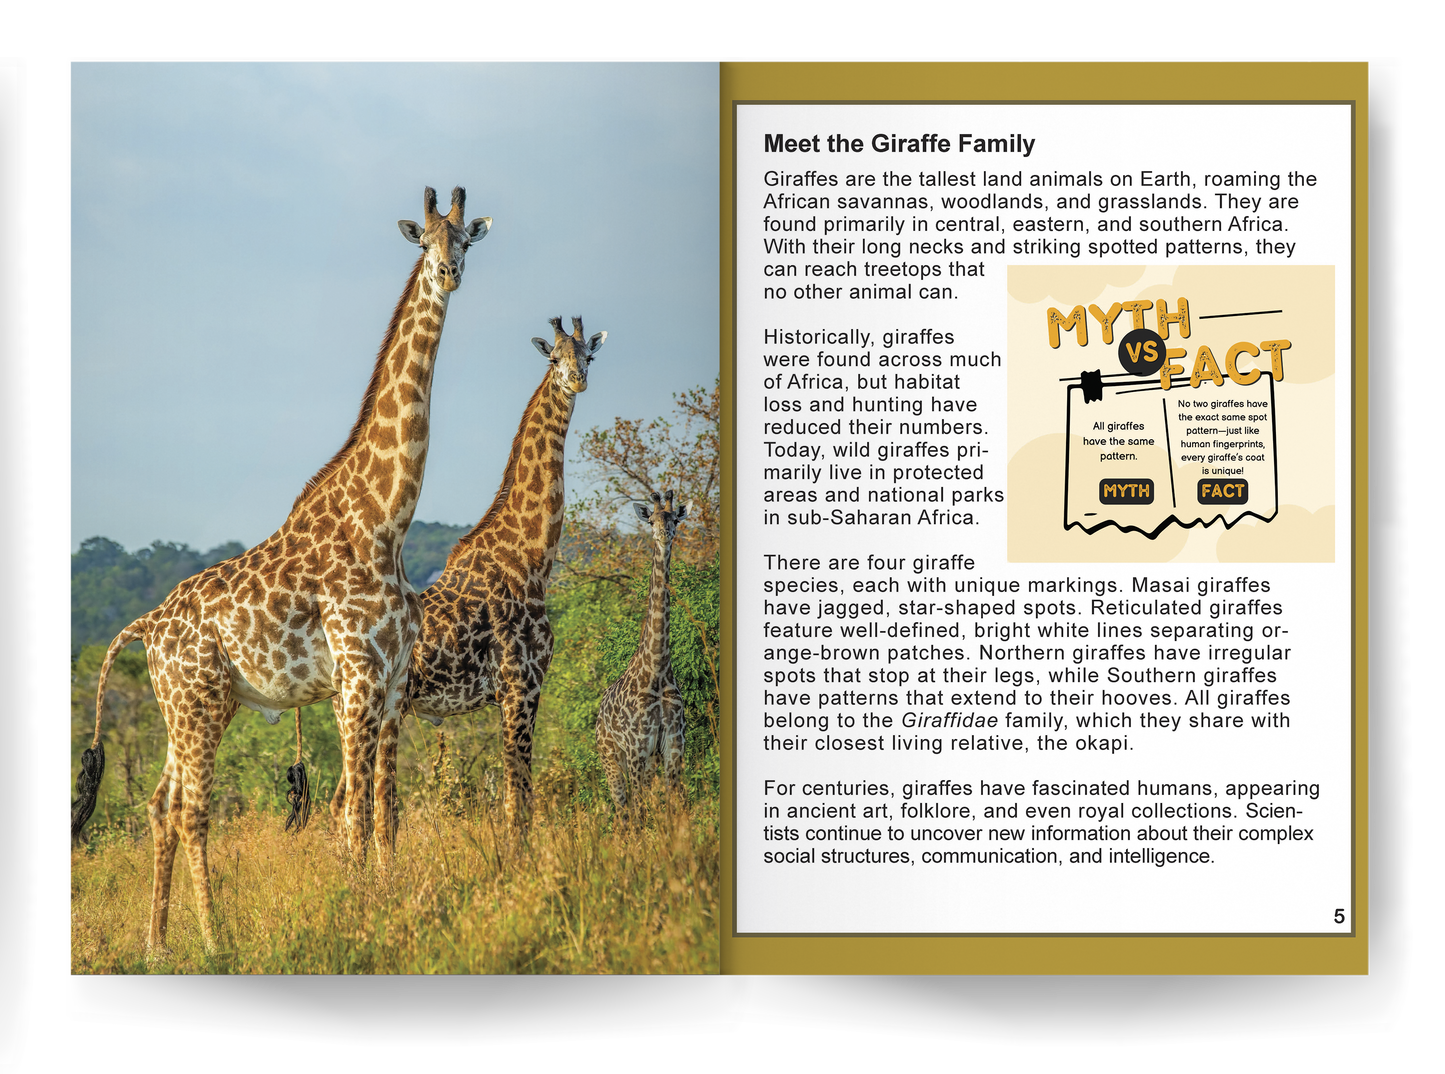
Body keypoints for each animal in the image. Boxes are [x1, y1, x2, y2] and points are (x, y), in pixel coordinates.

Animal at [70, 187, 491, 951]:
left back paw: (157, 942)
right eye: (425, 243)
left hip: (195, 705)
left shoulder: (390, 686)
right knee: (193, 811)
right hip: (197, 704)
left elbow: (386, 813)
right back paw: (213, 940)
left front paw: (384, 902)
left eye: (467, 239)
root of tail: (144, 626)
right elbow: (353, 815)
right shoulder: (356, 681)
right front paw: (356, 914)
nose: (449, 273)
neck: (385, 518)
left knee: (159, 803)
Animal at [344, 316, 604, 829]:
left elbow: (519, 798)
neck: (531, 559)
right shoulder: (519, 685)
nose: (576, 380)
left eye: (590, 355)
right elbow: (517, 801)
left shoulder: (528, 688)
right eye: (553, 358)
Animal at [596, 490, 690, 817]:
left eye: (675, 519)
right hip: (611, 757)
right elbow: (639, 811)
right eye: (651, 520)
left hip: (648, 761)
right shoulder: (637, 748)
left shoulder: (673, 746)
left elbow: (674, 807)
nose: (664, 534)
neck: (657, 669)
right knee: (624, 810)